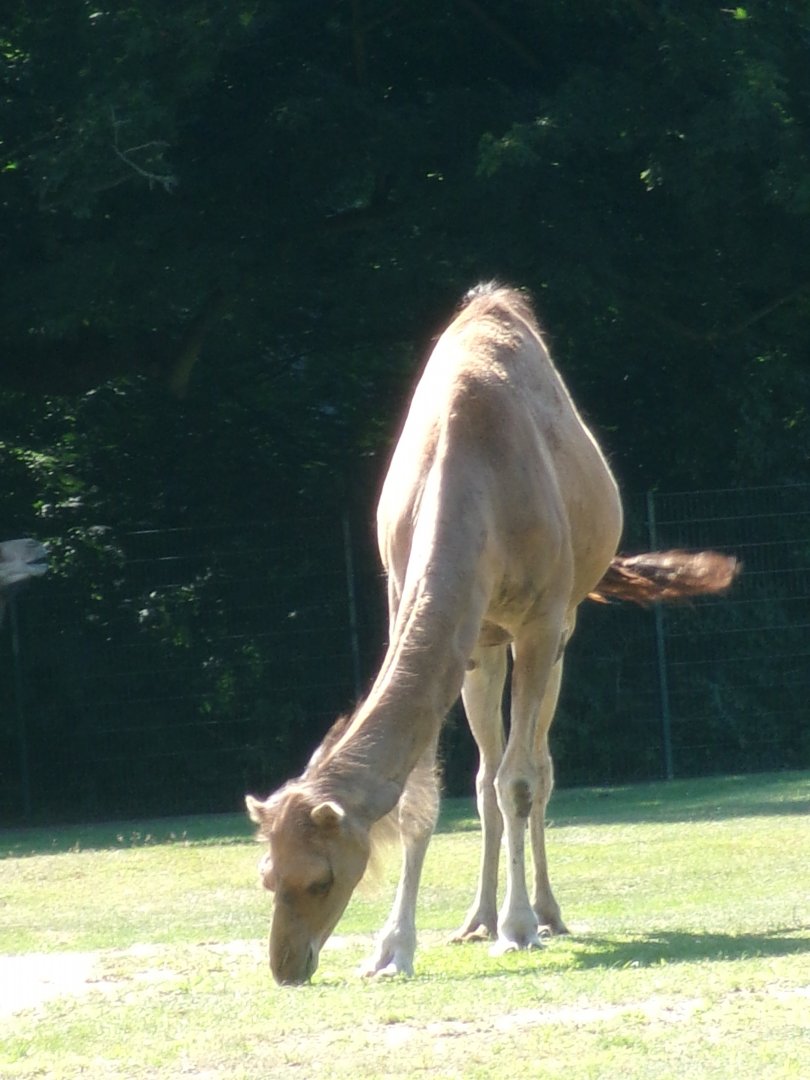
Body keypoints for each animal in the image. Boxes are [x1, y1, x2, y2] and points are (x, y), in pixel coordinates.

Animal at [246, 284, 738, 985]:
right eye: (267, 876)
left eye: (320, 879)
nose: (287, 965)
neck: (472, 478)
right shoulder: (424, 611)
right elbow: (424, 796)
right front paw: (392, 949)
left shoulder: (539, 622)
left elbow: (523, 780)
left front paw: (520, 928)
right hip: (483, 646)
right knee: (486, 773)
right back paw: (475, 919)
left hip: (557, 631)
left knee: (537, 766)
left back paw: (546, 914)